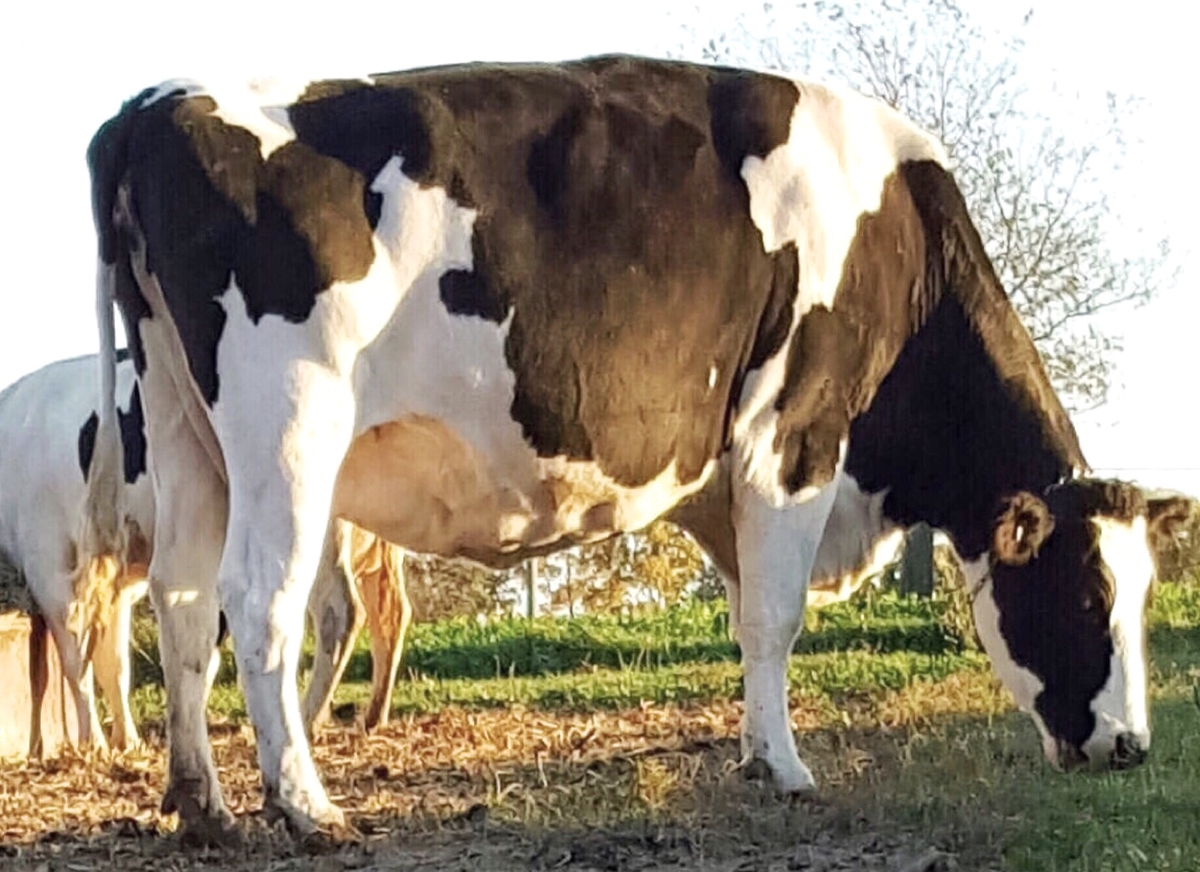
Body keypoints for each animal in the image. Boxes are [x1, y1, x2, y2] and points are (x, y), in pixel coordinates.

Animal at [87, 52, 1190, 839]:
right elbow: (776, 616)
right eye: (1086, 596)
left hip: (185, 430)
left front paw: (757, 750)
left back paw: (202, 803)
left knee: (182, 605)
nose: (1133, 746)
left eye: (1144, 595)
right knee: (255, 601)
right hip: (289, 423)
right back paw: (306, 806)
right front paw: (785, 768)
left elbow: (750, 611)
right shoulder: (795, 430)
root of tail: (159, 103)